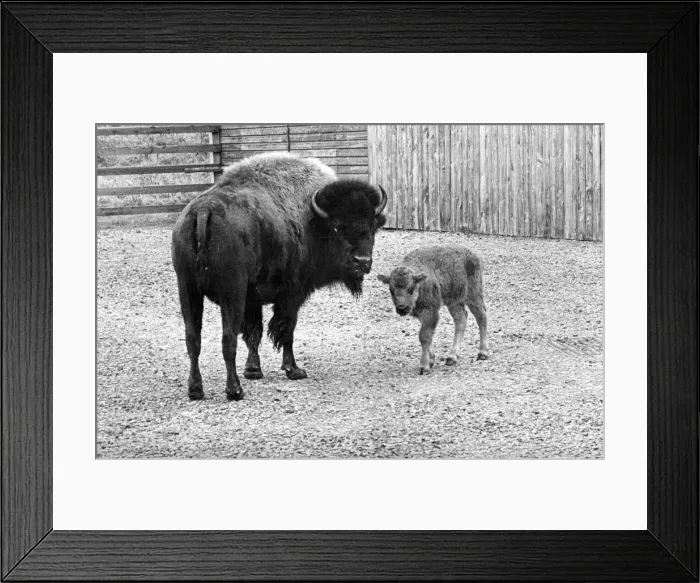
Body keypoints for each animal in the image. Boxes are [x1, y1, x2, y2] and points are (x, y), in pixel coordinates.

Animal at [171, 152, 387, 401]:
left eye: (371, 225)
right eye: (336, 227)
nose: (362, 262)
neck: (313, 220)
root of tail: (204, 210)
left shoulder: (252, 300)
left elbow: (254, 332)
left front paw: (253, 370)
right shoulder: (292, 295)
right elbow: (286, 330)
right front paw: (294, 370)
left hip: (188, 290)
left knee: (193, 339)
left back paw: (196, 389)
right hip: (231, 294)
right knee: (228, 339)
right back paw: (235, 390)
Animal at [377, 244, 489, 374]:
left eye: (411, 288)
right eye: (391, 290)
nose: (402, 308)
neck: (420, 283)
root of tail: (474, 254)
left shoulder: (431, 313)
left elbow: (424, 336)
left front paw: (424, 366)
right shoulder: (423, 315)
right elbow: (428, 336)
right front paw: (431, 360)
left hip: (473, 294)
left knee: (481, 316)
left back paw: (482, 353)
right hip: (454, 301)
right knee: (461, 318)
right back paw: (452, 357)